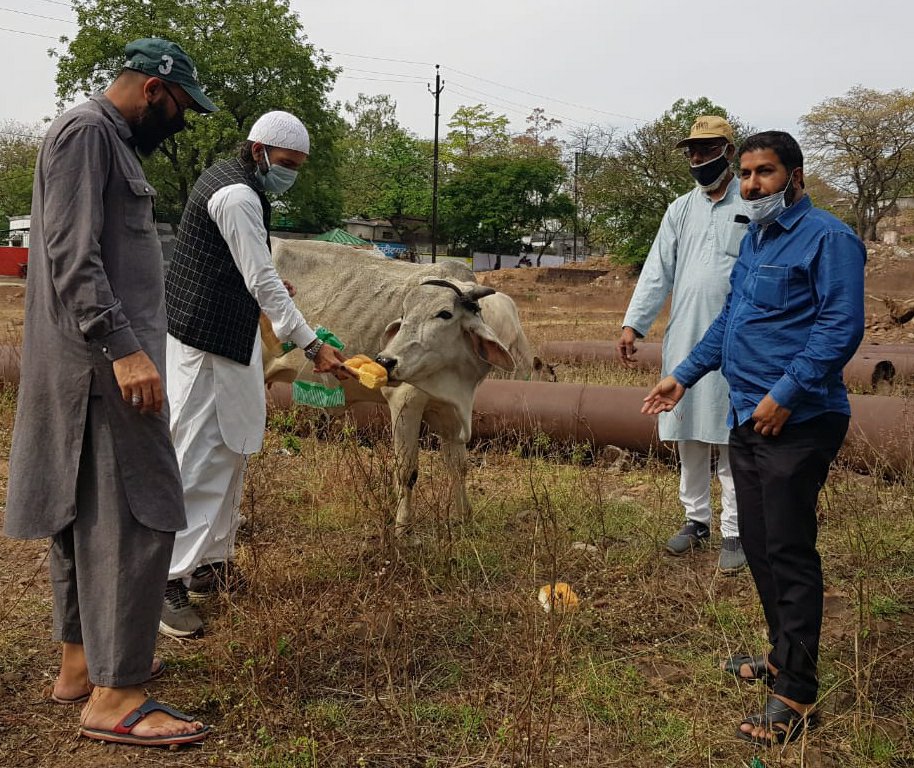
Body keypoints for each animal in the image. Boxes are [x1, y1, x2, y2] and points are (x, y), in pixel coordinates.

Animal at [264, 240, 536, 536]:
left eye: (444, 314)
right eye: (403, 316)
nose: (385, 361)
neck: (454, 377)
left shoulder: (451, 412)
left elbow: (458, 467)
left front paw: (465, 519)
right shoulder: (406, 403)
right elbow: (407, 472)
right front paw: (403, 527)